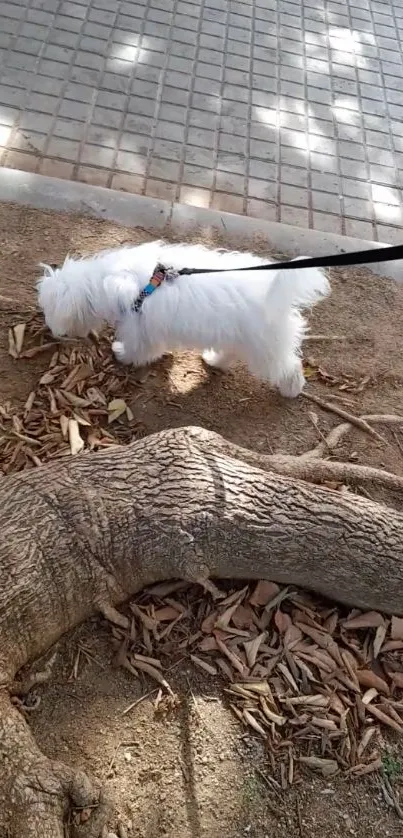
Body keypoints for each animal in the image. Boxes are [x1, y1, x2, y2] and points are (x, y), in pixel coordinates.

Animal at [36, 241, 330, 398]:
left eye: (50, 310)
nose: (49, 329)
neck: (103, 282)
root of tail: (277, 292)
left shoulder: (139, 327)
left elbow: (139, 350)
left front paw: (122, 354)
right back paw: (213, 360)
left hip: (265, 349)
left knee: (288, 368)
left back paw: (292, 390)